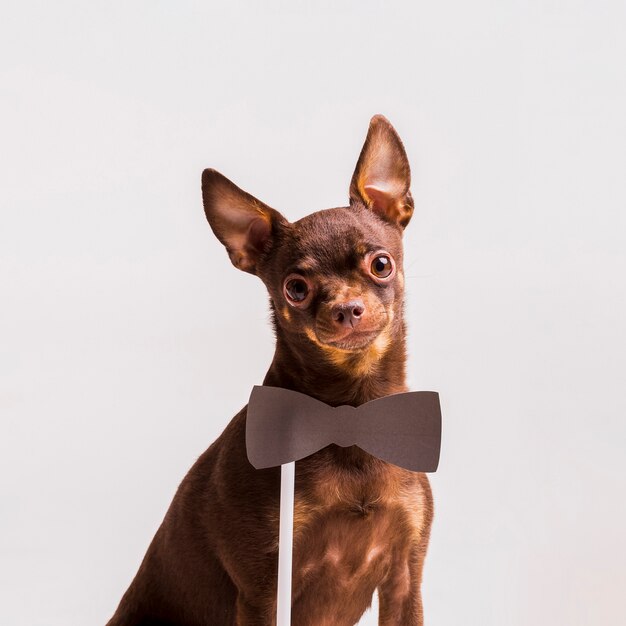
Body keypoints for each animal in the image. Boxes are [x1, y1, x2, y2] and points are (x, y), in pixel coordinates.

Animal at [105, 114, 432, 620]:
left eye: (381, 264)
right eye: (296, 288)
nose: (347, 308)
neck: (349, 413)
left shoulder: (404, 579)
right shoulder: (264, 589)